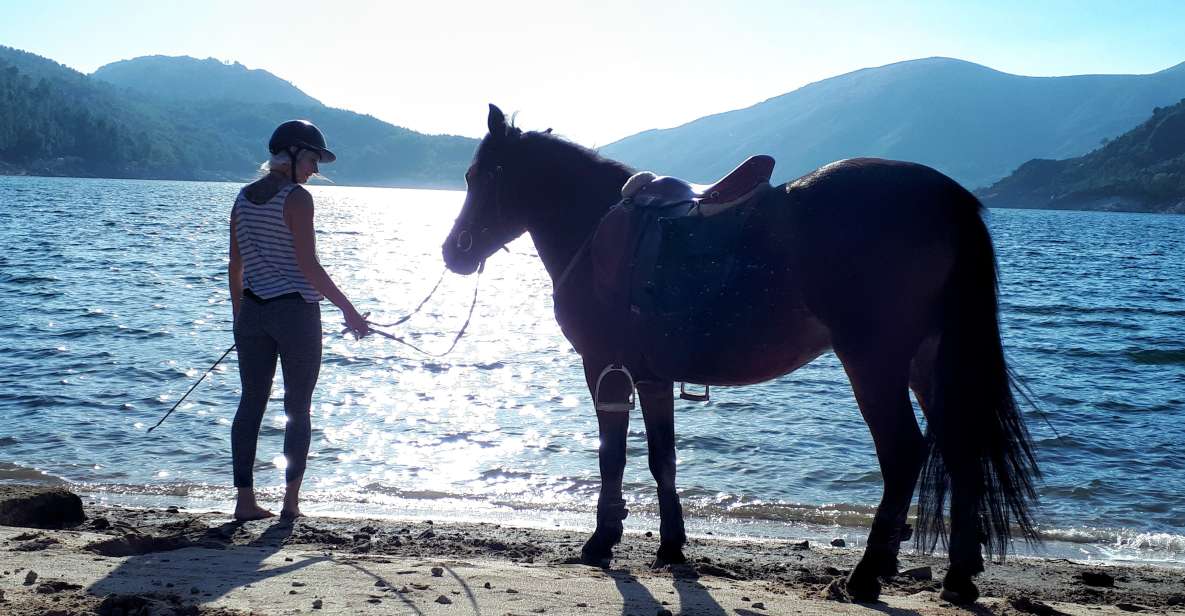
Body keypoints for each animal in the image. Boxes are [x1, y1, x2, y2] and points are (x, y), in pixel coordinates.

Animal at [445, 104, 1038, 601]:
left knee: (903, 453)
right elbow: (663, 458)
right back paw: (958, 576)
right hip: (928, 362)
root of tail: (945, 197)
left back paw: (867, 574)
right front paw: (671, 545)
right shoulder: (652, 375)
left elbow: (612, 456)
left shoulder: (604, 367)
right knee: (960, 451)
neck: (594, 226)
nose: (453, 251)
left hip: (875, 360)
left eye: (478, 177)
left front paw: (601, 539)